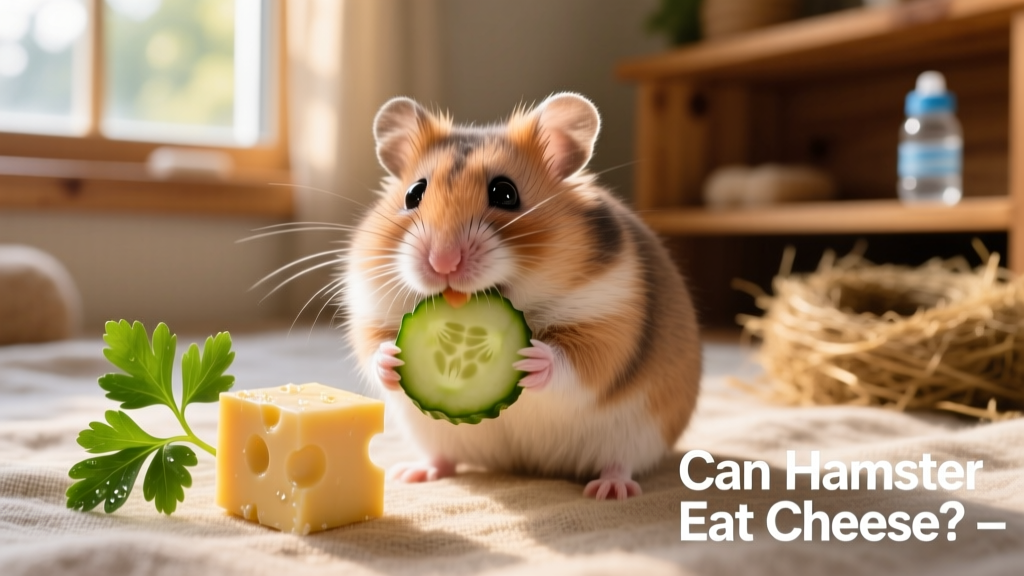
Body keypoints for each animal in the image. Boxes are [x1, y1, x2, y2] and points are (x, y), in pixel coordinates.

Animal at [341, 93, 701, 500]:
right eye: (413, 194)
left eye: (505, 193)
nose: (442, 262)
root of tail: (526, 465)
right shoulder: (370, 311)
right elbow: (375, 348)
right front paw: (392, 358)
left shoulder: (608, 321)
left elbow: (573, 365)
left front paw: (529, 359)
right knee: (443, 457)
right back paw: (413, 473)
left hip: (637, 436)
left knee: (619, 462)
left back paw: (610, 490)